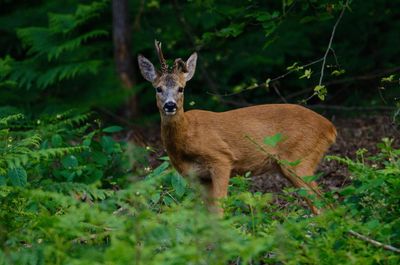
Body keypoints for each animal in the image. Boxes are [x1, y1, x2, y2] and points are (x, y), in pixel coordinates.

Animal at [138, 40, 334, 214]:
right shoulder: (198, 177)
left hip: (299, 159)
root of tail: (330, 128)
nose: (170, 105)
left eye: (181, 88)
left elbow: (219, 207)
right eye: (158, 88)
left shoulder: (221, 159)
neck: (186, 136)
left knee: (322, 203)